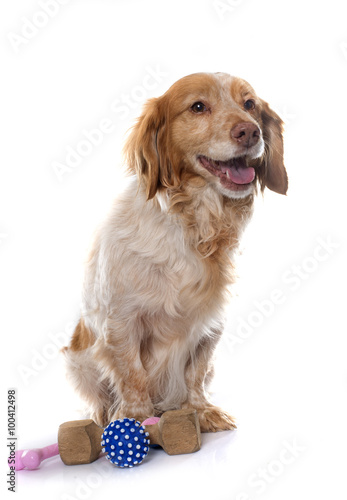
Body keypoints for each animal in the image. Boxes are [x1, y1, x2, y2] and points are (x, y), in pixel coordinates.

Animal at [62, 72, 288, 432]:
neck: (195, 223)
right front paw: (137, 417)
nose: (250, 131)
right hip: (76, 358)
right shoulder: (120, 322)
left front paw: (200, 410)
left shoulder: (210, 323)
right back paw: (101, 415)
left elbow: (195, 370)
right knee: (97, 396)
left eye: (250, 104)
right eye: (197, 107)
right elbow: (133, 375)